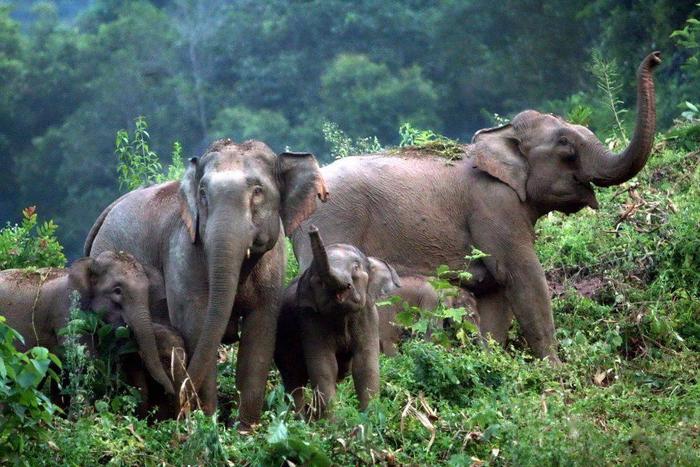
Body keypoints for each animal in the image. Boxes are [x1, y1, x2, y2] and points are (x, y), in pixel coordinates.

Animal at [85, 139, 328, 428]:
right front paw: (207, 425)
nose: (179, 403)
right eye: (203, 193)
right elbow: (197, 325)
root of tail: (106, 212)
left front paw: (244, 430)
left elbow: (261, 330)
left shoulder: (273, 261)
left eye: (258, 191)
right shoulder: (183, 252)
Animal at [274, 227, 402, 416]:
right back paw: (300, 418)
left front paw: (368, 418)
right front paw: (335, 422)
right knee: (293, 377)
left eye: (356, 267)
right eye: (318, 278)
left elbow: (365, 365)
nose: (313, 229)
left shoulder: (368, 316)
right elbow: (325, 367)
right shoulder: (309, 321)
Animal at [294, 52, 660, 366]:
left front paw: (493, 359)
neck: (497, 140)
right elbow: (523, 277)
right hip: (332, 226)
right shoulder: (495, 208)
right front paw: (554, 371)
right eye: (566, 146)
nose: (655, 57)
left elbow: (496, 292)